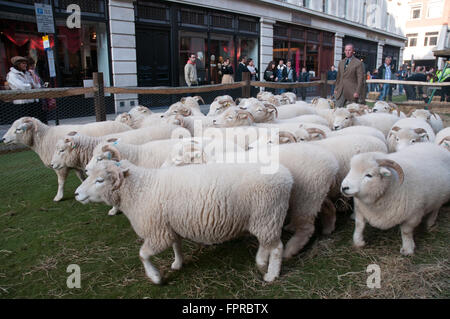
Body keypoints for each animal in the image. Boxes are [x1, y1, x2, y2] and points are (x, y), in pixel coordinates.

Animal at [1, 117, 132, 202]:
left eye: (18, 129)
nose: (3, 139)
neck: (43, 138)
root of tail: (127, 126)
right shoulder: (75, 164)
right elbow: (81, 177)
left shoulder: (61, 166)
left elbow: (60, 182)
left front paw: (58, 197)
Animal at [75, 159, 294, 282]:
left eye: (100, 180)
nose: (77, 194)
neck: (140, 188)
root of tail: (288, 177)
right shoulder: (170, 226)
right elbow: (176, 245)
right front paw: (177, 264)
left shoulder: (158, 232)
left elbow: (143, 254)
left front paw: (155, 277)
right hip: (264, 219)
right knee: (267, 244)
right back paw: (261, 262)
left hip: (268, 215)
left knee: (276, 247)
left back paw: (271, 275)